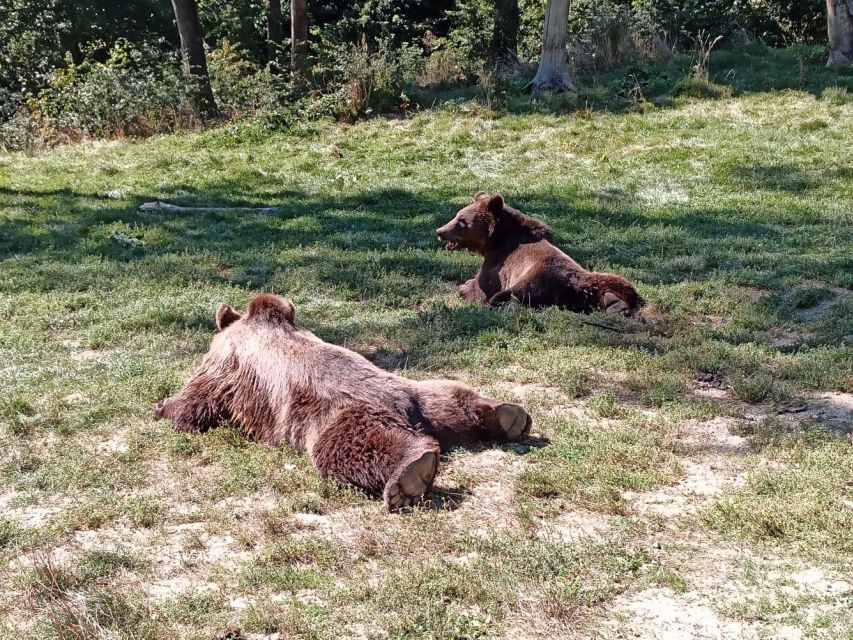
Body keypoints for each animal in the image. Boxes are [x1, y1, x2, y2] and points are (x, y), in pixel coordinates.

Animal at [152, 294, 524, 510]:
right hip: (424, 396)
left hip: (336, 417)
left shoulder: (225, 364)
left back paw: (410, 474)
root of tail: (405, 408)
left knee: (349, 448)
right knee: (451, 397)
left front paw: (164, 408)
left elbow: (199, 394)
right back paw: (507, 416)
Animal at [436, 192, 644, 316]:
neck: (496, 240)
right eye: (456, 215)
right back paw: (616, 305)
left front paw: (464, 286)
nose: (440, 231)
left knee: (511, 295)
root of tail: (575, 284)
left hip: (536, 278)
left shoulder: (499, 263)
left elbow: (482, 286)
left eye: (461, 221)